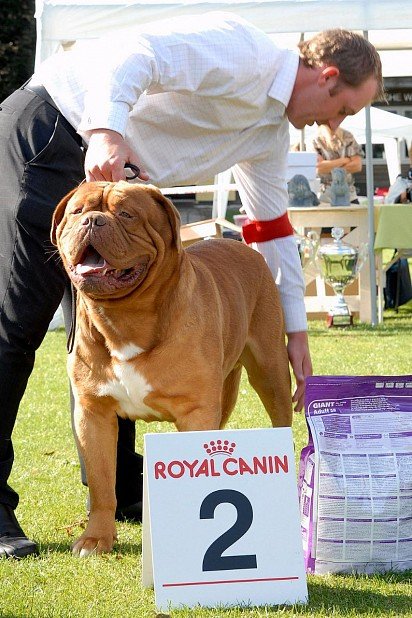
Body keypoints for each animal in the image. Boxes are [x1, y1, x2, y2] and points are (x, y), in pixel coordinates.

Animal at [51, 179, 292, 552]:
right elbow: (103, 482)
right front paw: (96, 539)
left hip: (270, 371)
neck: (124, 318)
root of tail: (240, 245)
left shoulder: (196, 412)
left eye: (127, 214)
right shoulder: (93, 413)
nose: (92, 221)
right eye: (77, 211)